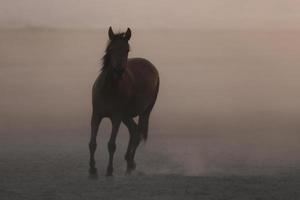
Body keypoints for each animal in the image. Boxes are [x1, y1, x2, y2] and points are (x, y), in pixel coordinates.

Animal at [88, 27, 159, 177]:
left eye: (127, 50)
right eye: (111, 49)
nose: (119, 70)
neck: (109, 89)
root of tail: (153, 67)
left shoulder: (116, 117)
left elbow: (111, 145)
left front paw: (109, 171)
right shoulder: (96, 115)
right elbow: (92, 143)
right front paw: (92, 170)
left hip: (144, 112)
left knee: (138, 132)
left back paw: (130, 163)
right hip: (126, 116)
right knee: (134, 130)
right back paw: (128, 162)